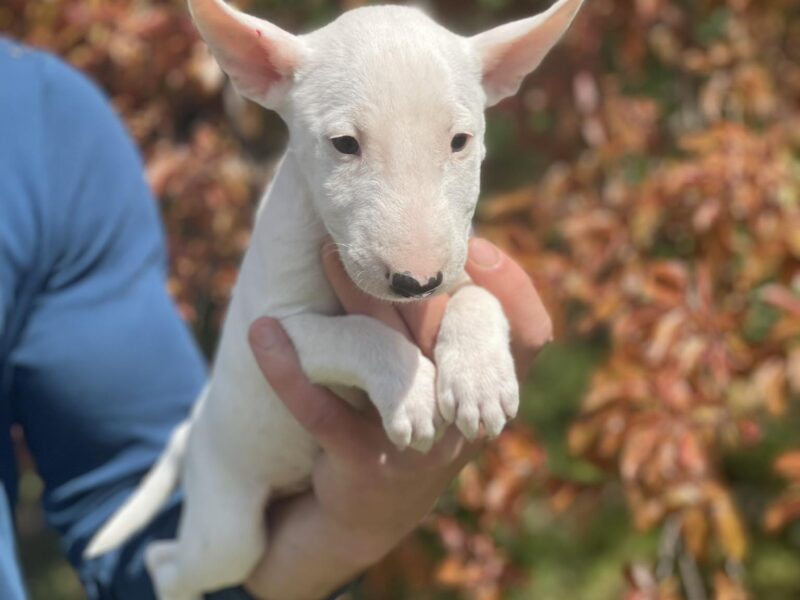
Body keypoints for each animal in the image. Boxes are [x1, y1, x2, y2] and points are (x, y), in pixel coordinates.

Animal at [84, 2, 580, 596]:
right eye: (345, 144)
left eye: (460, 140)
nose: (417, 283)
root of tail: (194, 431)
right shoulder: (273, 328)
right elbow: (359, 333)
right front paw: (411, 392)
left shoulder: (462, 270)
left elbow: (479, 299)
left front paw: (479, 381)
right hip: (227, 526)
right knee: (167, 559)